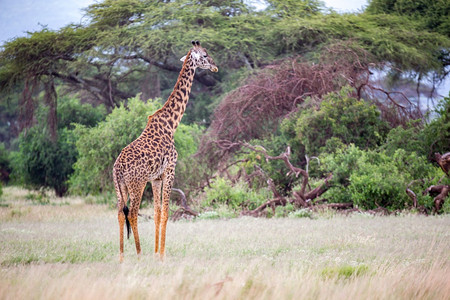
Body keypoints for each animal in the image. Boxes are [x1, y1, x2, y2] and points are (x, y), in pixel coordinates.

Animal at [112, 41, 218, 262]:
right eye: (205, 55)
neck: (171, 124)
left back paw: (122, 256)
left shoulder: (156, 178)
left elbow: (157, 212)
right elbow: (167, 212)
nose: (215, 67)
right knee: (132, 213)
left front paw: (155, 253)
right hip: (137, 184)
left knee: (119, 213)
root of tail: (117, 169)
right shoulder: (170, 169)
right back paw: (138, 253)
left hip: (120, 187)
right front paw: (161, 255)